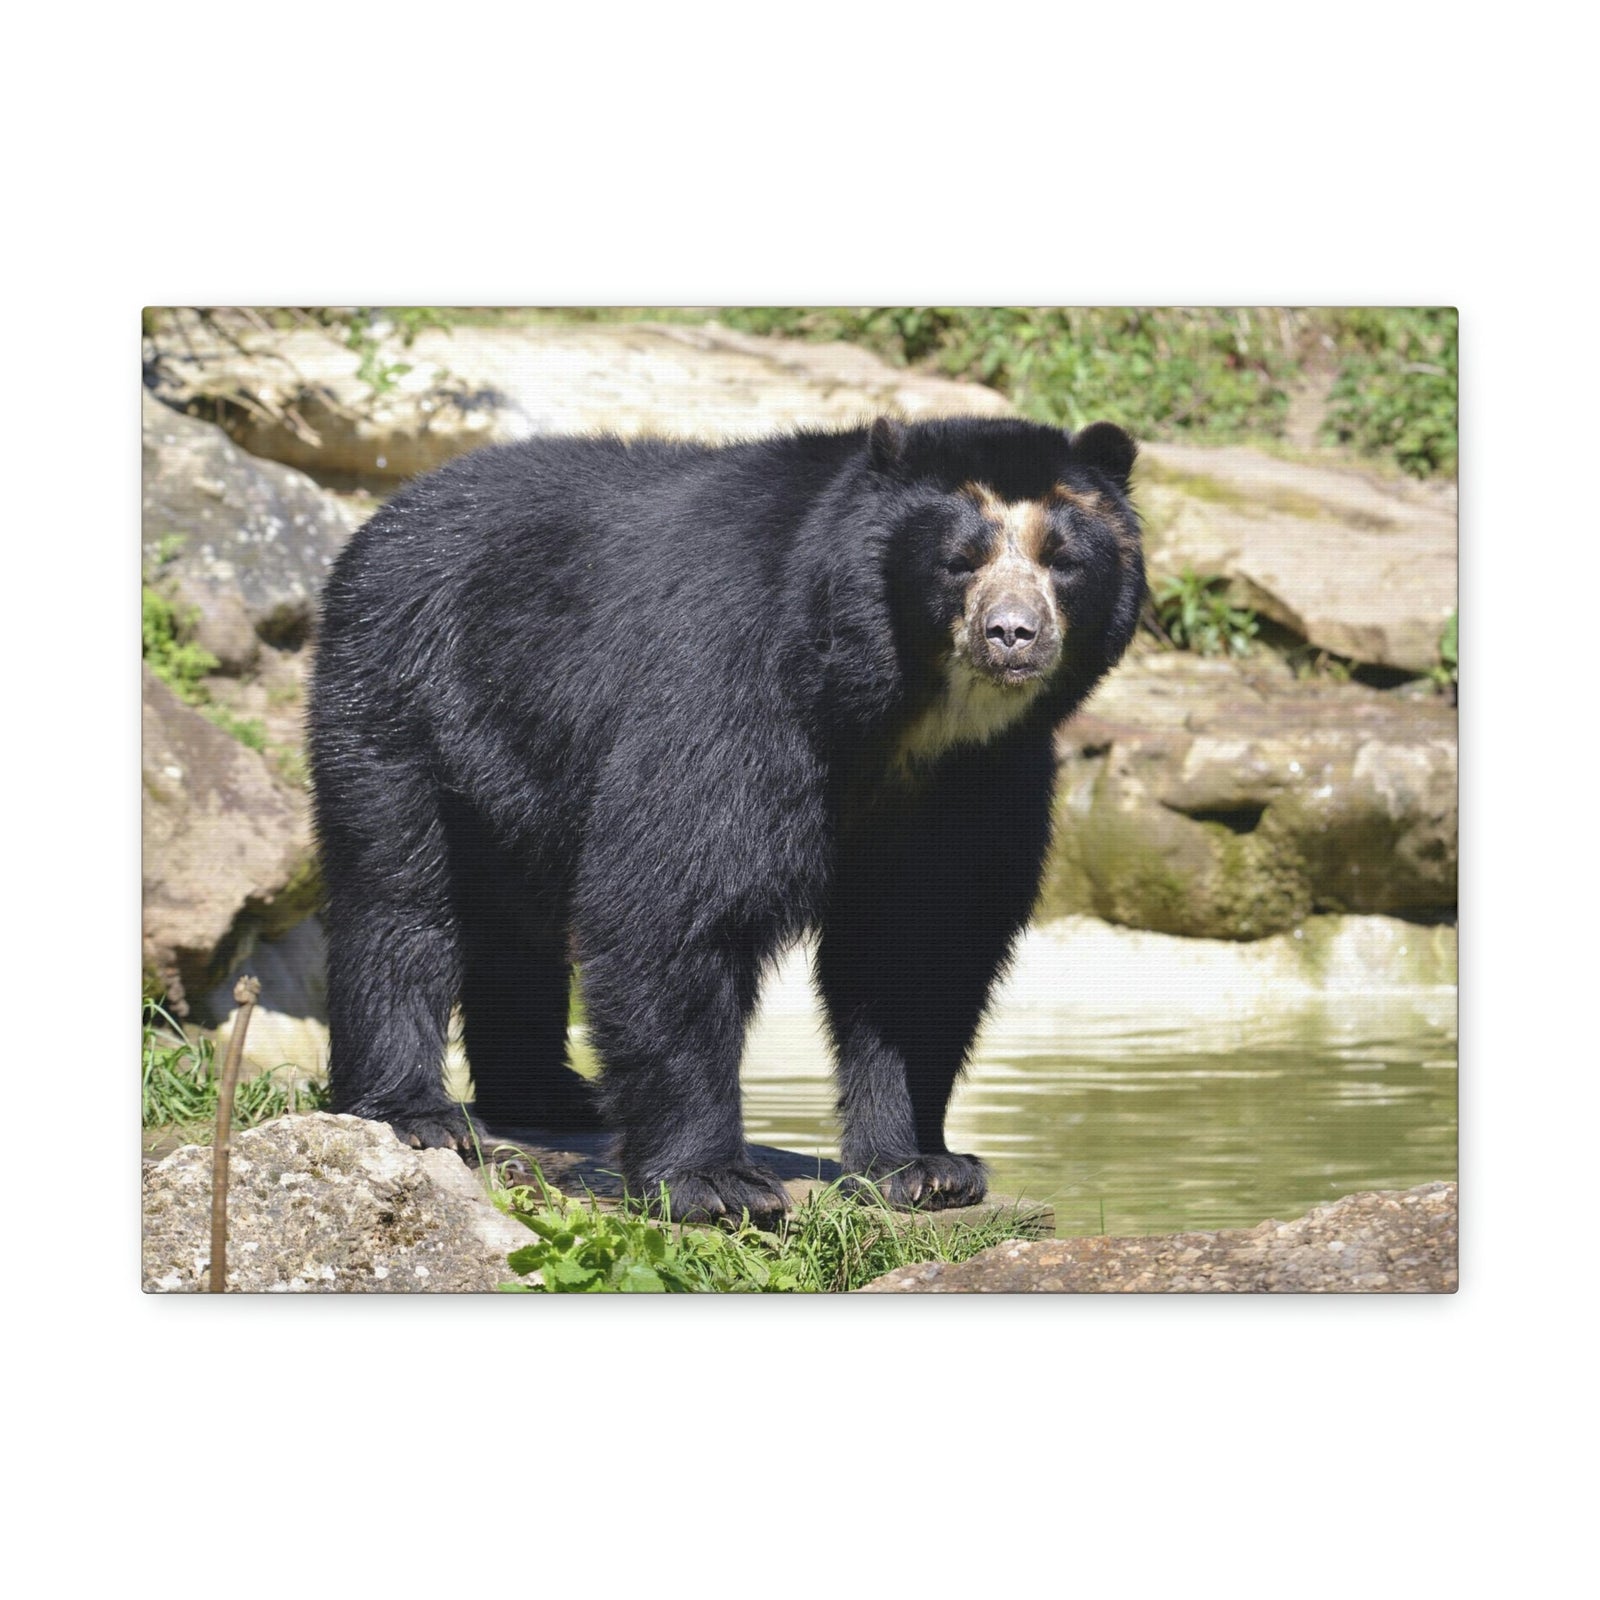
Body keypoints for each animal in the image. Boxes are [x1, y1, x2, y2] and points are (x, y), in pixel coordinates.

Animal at [308, 414, 1144, 1224]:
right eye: (959, 561)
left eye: (1062, 560)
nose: (1012, 634)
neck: (906, 716)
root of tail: (390, 513)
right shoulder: (734, 686)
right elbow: (677, 901)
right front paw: (715, 1184)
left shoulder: (979, 778)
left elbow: (923, 944)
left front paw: (926, 1169)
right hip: (404, 693)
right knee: (399, 897)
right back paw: (420, 1113)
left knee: (515, 920)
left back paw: (551, 1095)